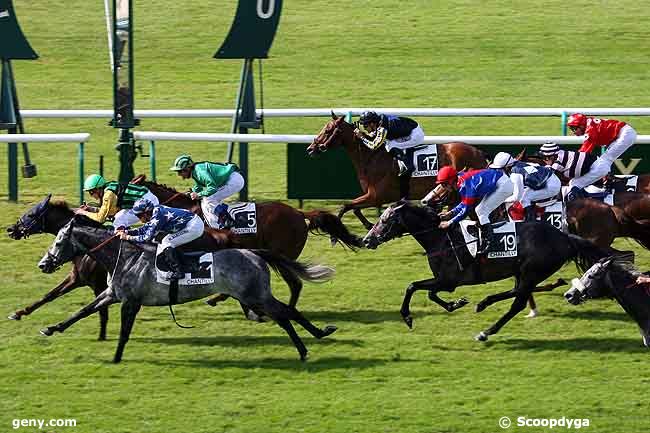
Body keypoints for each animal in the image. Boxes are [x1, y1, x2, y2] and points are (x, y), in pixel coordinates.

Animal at [37, 218, 336, 362]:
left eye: (59, 242)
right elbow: (82, 311)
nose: (43, 264)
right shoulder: (112, 295)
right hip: (255, 295)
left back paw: (306, 347)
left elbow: (124, 332)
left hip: (255, 296)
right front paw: (51, 329)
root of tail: (253, 253)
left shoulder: (130, 302)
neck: (125, 256)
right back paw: (319, 334)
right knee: (288, 313)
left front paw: (116, 357)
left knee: (285, 315)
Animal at [306, 112, 486, 230]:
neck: (371, 158)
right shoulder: (372, 196)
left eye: (327, 130)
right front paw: (369, 225)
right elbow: (353, 207)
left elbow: (345, 206)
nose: (310, 148)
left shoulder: (377, 196)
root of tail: (479, 153)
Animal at [362, 202, 620, 340]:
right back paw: (484, 303)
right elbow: (428, 293)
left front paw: (407, 317)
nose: (366, 240)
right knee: (517, 292)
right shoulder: (444, 280)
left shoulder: (448, 280)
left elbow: (414, 287)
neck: (440, 238)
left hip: (532, 271)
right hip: (524, 272)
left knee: (518, 301)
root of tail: (565, 237)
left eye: (385, 221)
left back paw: (486, 331)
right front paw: (456, 304)